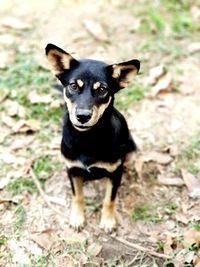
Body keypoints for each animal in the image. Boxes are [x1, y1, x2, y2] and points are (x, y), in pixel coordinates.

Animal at [45, 43, 140, 232]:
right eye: (73, 86)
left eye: (102, 90)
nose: (83, 116)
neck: (87, 138)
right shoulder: (73, 170)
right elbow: (77, 196)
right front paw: (77, 218)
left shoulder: (115, 173)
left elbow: (109, 199)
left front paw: (108, 221)